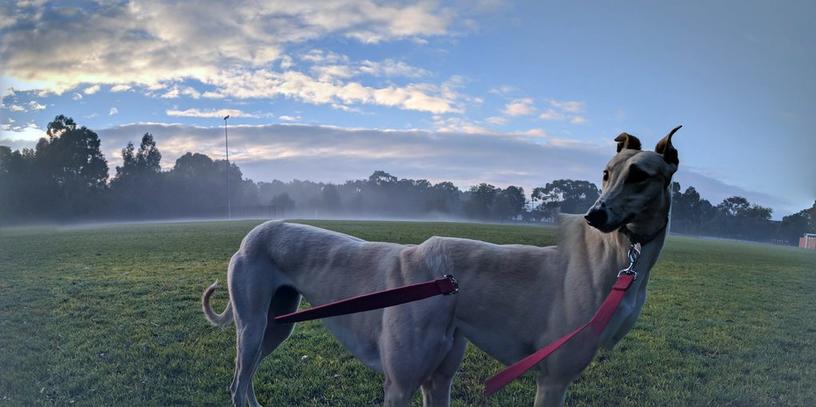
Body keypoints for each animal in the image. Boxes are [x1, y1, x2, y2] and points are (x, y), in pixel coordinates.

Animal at [201, 126, 680, 406]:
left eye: (640, 175)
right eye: (606, 173)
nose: (595, 215)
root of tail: (255, 232)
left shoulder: (438, 382)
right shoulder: (403, 387)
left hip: (277, 325)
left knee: (244, 382)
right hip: (253, 326)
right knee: (238, 382)